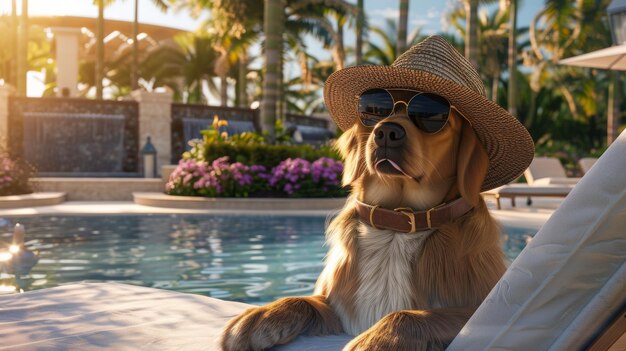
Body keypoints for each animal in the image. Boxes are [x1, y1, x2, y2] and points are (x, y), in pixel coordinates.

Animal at [219, 102, 508, 351]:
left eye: (432, 116)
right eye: (375, 110)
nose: (387, 132)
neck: (396, 228)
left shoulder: (482, 310)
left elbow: (410, 314)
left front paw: (377, 340)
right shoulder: (340, 310)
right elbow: (303, 301)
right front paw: (260, 316)